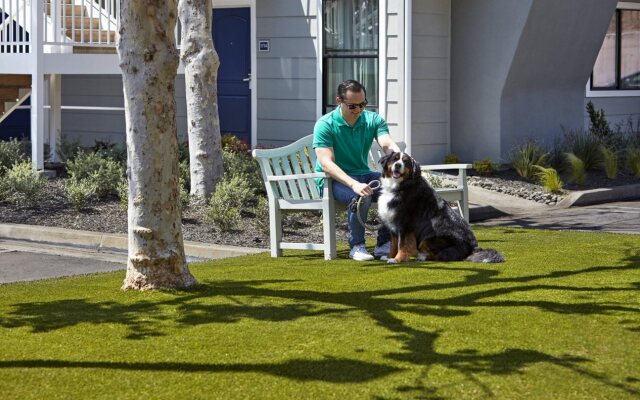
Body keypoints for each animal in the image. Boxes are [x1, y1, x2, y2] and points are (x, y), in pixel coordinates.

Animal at [376, 152, 504, 264]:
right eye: (395, 159)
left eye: (405, 162)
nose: (398, 165)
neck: (400, 186)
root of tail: (473, 246)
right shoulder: (393, 225)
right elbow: (393, 244)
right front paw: (390, 256)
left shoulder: (405, 225)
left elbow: (402, 245)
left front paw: (397, 259)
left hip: (428, 238)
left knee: (439, 256)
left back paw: (422, 257)